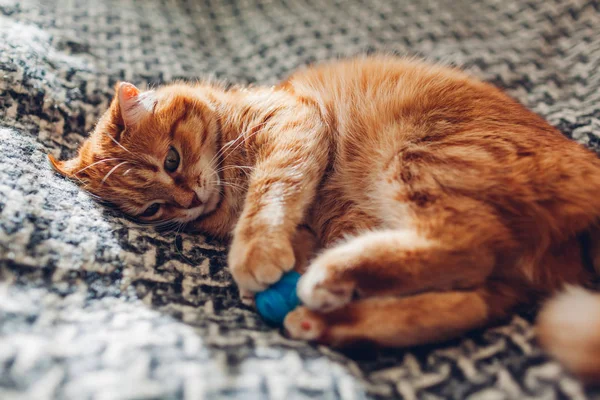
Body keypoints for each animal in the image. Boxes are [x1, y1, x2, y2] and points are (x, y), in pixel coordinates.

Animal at [49, 56, 600, 382]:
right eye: (151, 208)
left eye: (171, 160)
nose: (185, 202)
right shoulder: (332, 219)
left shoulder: (295, 125)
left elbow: (272, 192)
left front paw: (255, 251)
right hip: (489, 265)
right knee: (461, 298)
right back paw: (325, 314)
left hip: (418, 160)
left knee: (463, 245)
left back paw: (330, 279)